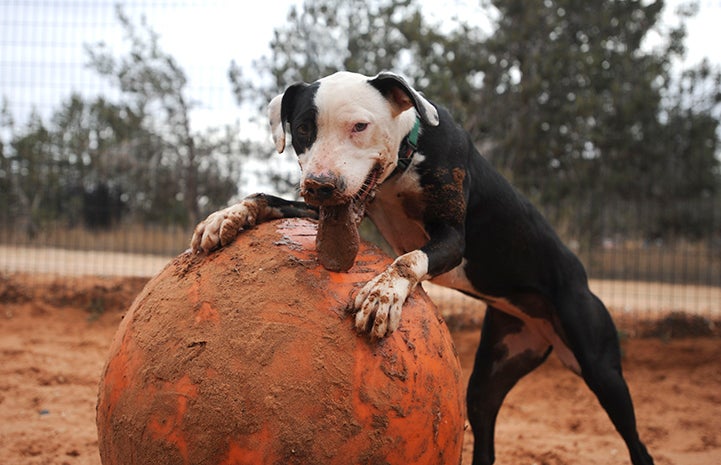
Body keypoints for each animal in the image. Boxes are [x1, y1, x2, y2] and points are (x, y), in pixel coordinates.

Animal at [190, 70, 652, 464]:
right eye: (303, 129)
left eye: (359, 127)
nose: (321, 185)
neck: (405, 160)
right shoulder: (329, 210)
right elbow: (267, 198)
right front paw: (227, 216)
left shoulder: (452, 238)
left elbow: (409, 259)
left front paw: (382, 296)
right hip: (492, 374)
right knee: (485, 426)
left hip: (601, 368)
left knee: (637, 444)